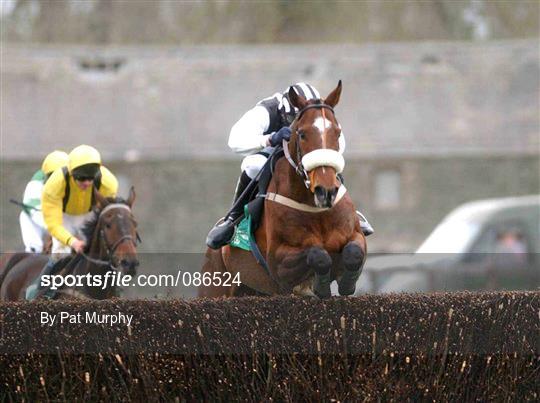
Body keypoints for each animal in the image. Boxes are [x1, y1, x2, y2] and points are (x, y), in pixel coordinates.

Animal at [201, 81, 368, 300]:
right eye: (302, 133)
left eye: (338, 133)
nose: (326, 191)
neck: (313, 206)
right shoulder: (278, 263)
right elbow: (318, 255)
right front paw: (320, 286)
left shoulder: (355, 236)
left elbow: (354, 253)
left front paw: (347, 284)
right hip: (214, 283)